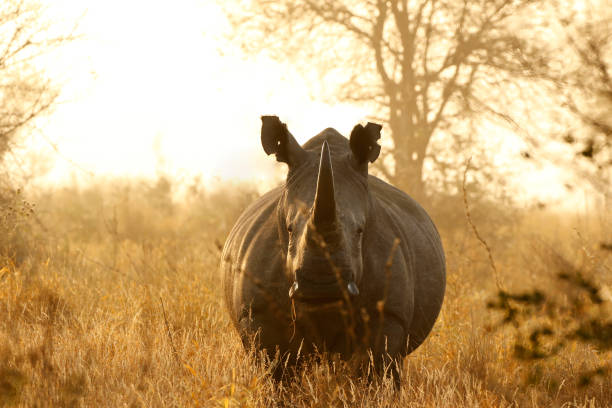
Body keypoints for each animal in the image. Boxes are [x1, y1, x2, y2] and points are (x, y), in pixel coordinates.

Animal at [220, 115, 444, 386]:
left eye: (360, 231)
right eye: (289, 229)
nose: (321, 287)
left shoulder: (389, 314)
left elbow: (376, 371)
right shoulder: (258, 312)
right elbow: (277, 372)